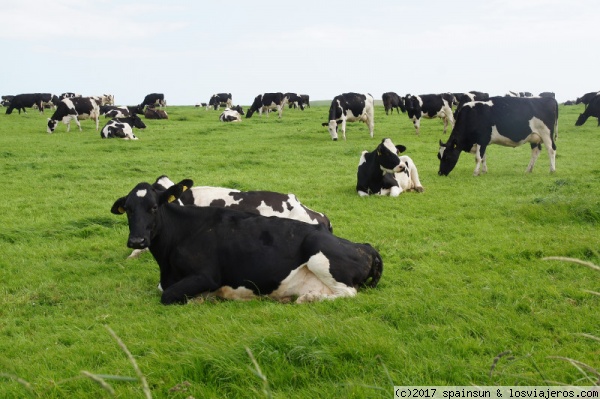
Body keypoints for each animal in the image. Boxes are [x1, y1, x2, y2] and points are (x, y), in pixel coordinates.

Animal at [110, 181, 382, 306]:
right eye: (128, 210)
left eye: (154, 207)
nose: (137, 240)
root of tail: (366, 246)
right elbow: (163, 290)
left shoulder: (206, 276)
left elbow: (167, 295)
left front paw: (201, 299)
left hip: (318, 252)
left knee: (348, 292)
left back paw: (308, 299)